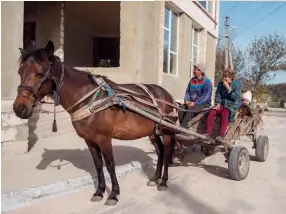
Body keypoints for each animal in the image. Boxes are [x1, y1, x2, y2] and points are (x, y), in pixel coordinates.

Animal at [13, 40, 179, 206]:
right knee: (160, 151)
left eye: (40, 73)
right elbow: (98, 165)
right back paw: (155, 178)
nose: (18, 108)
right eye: (20, 72)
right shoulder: (89, 139)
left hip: (166, 131)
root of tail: (168, 95)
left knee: (167, 152)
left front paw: (113, 194)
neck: (89, 99)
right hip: (153, 132)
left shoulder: (104, 138)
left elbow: (110, 165)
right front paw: (99, 192)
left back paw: (163, 182)